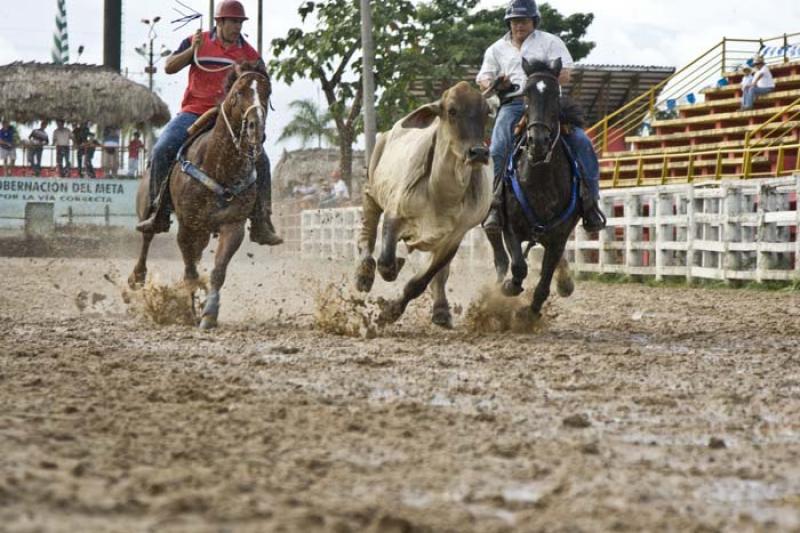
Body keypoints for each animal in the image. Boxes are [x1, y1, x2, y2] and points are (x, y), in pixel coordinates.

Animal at [129, 61, 272, 328]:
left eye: (267, 93)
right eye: (239, 93)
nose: (255, 128)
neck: (219, 166)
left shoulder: (233, 225)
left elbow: (217, 271)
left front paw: (209, 313)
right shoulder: (187, 226)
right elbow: (190, 272)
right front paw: (190, 311)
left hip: (204, 231)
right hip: (149, 211)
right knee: (147, 238)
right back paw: (137, 278)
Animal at [356, 81, 494, 326]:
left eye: (486, 112)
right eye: (452, 111)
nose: (478, 152)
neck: (441, 195)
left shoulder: (454, 238)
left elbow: (420, 281)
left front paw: (391, 311)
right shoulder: (394, 213)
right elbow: (386, 263)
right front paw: (390, 270)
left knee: (440, 276)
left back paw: (441, 311)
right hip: (371, 189)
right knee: (368, 233)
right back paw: (363, 274)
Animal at [484, 60, 580, 322]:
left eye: (556, 95)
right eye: (526, 94)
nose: (538, 141)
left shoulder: (558, 237)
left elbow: (544, 282)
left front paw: (531, 312)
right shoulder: (511, 227)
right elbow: (518, 265)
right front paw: (510, 287)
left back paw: (565, 282)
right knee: (497, 248)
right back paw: (500, 279)